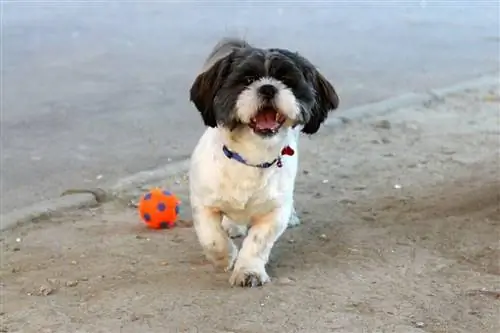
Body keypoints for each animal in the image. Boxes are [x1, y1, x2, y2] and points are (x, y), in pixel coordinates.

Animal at [188, 37, 340, 286]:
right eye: (248, 80)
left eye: (286, 80)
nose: (268, 87)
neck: (251, 157)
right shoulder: (203, 203)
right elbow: (211, 238)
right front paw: (225, 256)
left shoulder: (274, 212)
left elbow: (258, 243)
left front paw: (249, 270)